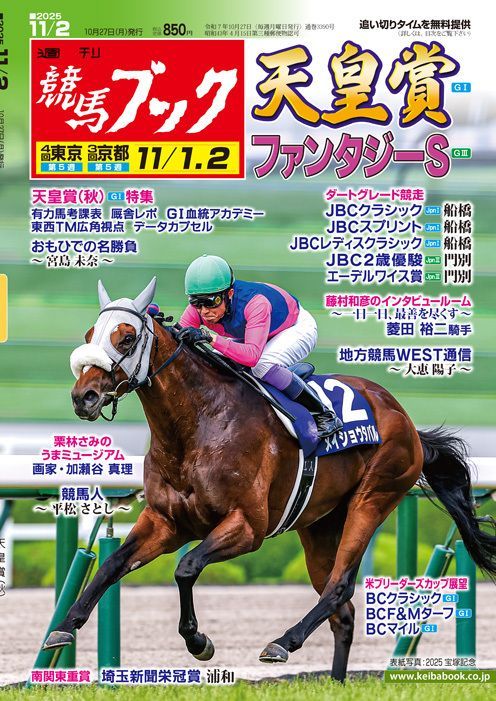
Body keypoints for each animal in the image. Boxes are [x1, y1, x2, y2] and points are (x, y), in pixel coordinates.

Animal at [43, 278, 496, 681]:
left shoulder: (248, 527)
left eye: (126, 337)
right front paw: (63, 627)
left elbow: (186, 568)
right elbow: (112, 564)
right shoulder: (166, 521)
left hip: (374, 497)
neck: (196, 427)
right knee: (342, 611)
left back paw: (282, 642)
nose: (83, 397)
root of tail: (402, 417)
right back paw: (334, 682)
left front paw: (198, 641)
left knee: (340, 586)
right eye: (90, 334)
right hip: (320, 524)